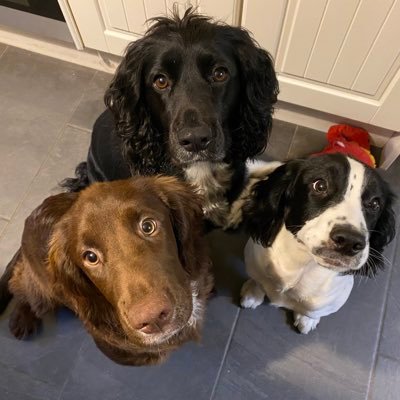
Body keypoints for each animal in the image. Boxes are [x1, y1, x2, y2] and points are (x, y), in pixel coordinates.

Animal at [0, 177, 212, 364]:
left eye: (148, 226)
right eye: (91, 257)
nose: (152, 318)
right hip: (43, 293)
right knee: (21, 285)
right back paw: (21, 317)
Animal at [239, 154, 396, 334]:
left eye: (375, 203)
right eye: (320, 185)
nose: (349, 241)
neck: (301, 265)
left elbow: (314, 310)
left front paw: (307, 319)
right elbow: (257, 279)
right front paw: (254, 292)